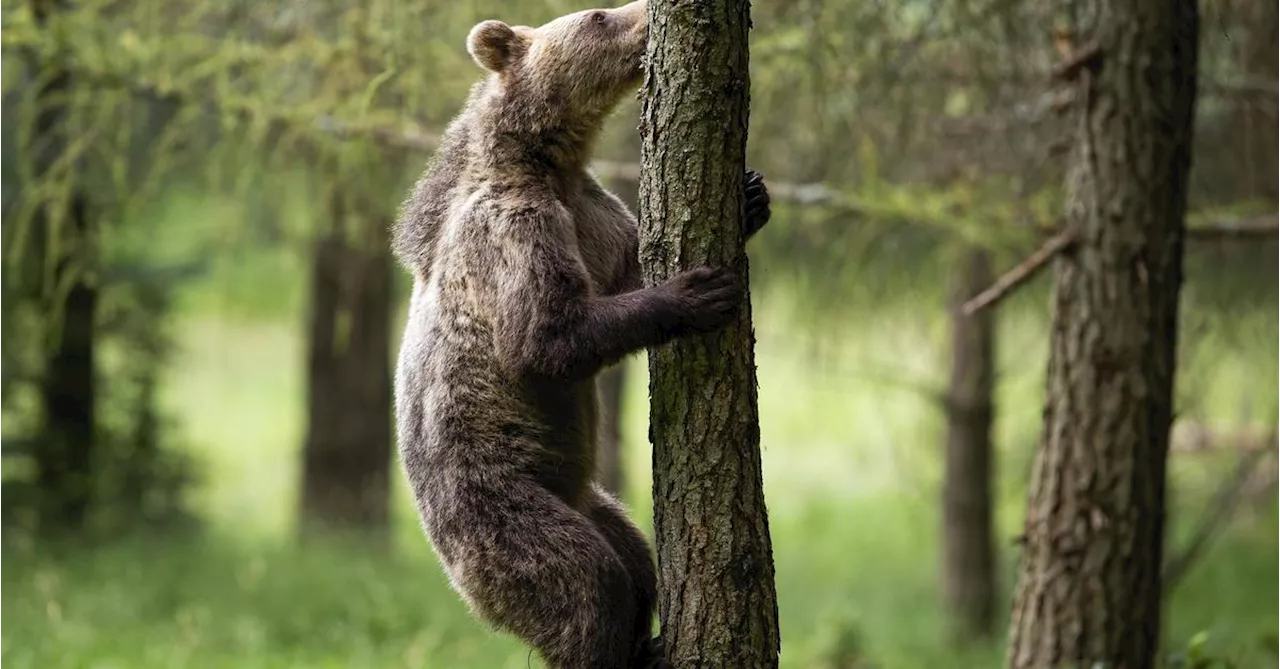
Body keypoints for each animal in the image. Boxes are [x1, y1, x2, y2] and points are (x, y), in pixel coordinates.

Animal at [389, 2, 768, 665]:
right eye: (597, 15)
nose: (645, 15)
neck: (546, 164)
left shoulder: (593, 215)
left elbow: (629, 264)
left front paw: (750, 198)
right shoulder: (515, 232)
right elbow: (546, 340)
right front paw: (696, 292)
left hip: (590, 499)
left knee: (635, 558)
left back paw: (646, 636)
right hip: (503, 510)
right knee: (585, 583)